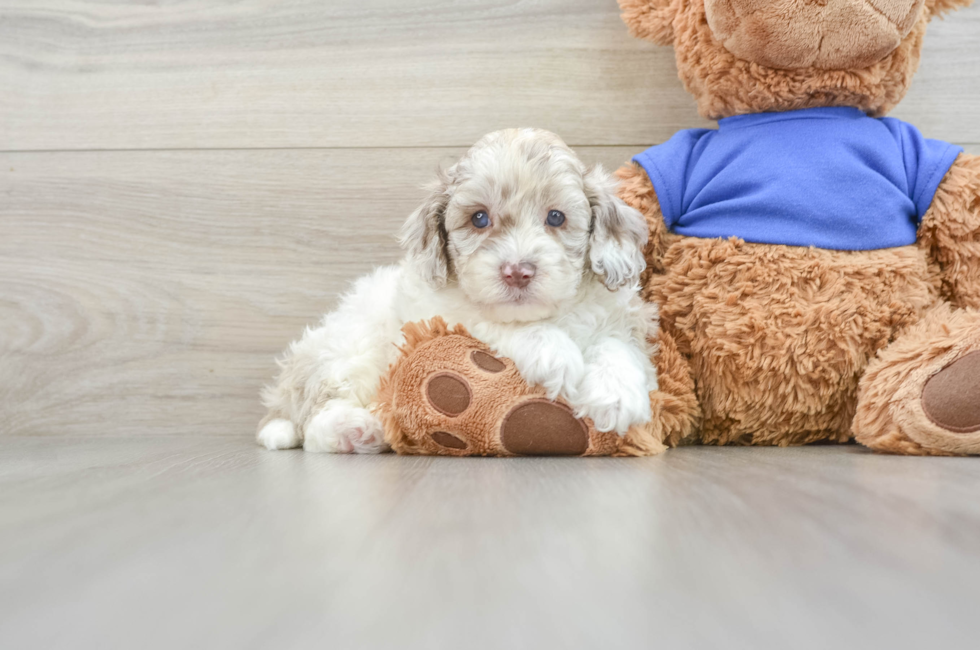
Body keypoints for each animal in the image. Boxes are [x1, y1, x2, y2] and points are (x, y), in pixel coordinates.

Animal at [258, 126, 660, 450]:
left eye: (556, 217)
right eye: (479, 218)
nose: (518, 272)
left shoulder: (623, 316)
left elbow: (617, 344)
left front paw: (616, 394)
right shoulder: (439, 313)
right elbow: (492, 323)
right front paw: (553, 352)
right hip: (349, 349)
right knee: (314, 421)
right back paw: (354, 430)